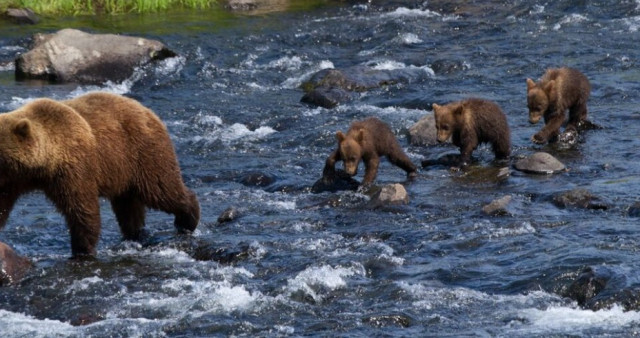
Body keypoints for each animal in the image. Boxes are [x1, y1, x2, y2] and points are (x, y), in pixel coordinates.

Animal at [0, 92, 199, 256]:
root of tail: (147, 110)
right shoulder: (14, 180)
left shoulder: (74, 168)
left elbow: (82, 208)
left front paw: (82, 249)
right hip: (124, 171)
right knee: (128, 206)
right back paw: (134, 234)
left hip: (143, 152)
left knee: (161, 189)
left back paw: (188, 219)